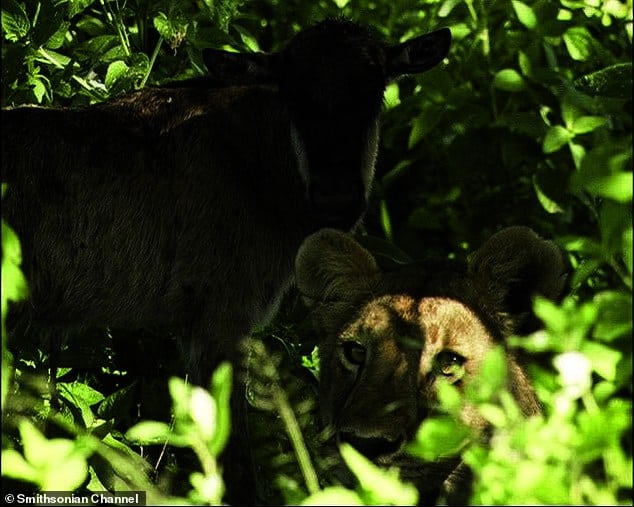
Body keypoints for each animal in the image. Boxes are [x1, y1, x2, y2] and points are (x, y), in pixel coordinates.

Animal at [2, 17, 452, 506]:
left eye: (375, 90)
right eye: (293, 94)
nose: (336, 198)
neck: (263, 173)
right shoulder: (219, 314)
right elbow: (230, 455)